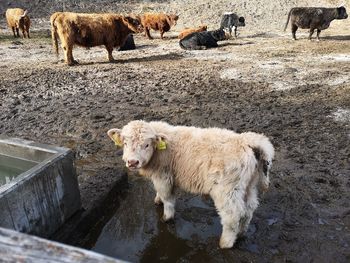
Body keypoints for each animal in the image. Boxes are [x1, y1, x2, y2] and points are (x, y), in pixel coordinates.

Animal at [106, 121, 274, 250]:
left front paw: (167, 217)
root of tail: (245, 141)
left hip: (227, 190)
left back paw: (225, 243)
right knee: (249, 210)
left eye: (147, 145)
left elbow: (168, 198)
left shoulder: (163, 177)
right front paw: (157, 200)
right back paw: (241, 233)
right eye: (125, 143)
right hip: (249, 186)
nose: (132, 162)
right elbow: (162, 194)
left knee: (233, 215)